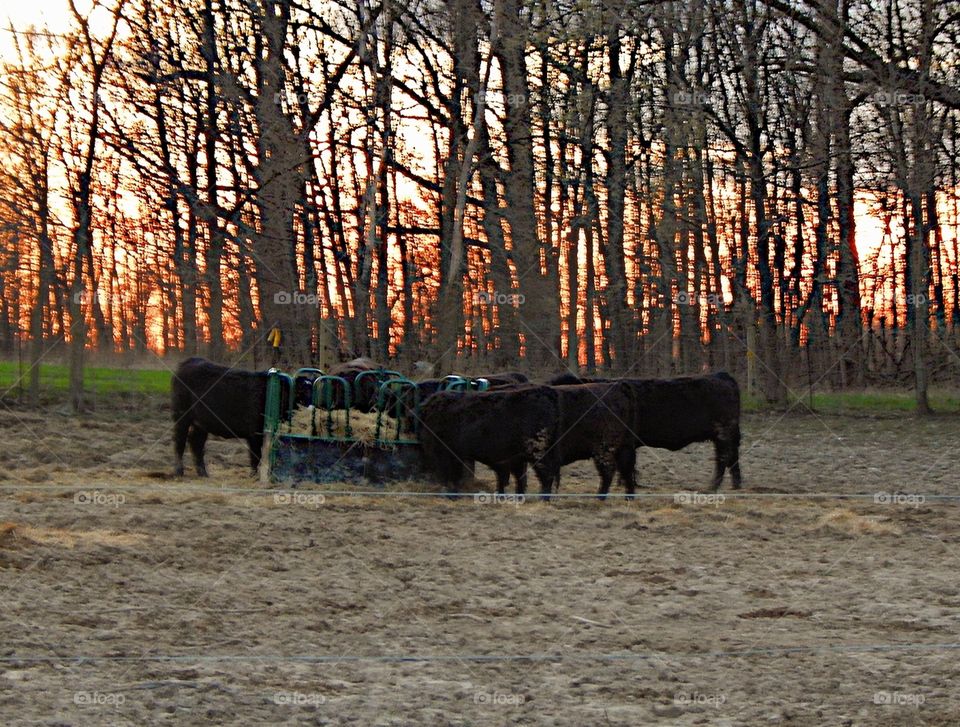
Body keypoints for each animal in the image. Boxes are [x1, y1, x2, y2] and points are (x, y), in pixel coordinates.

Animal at [546, 371, 742, 490]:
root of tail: (722, 376)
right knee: (733, 459)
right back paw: (735, 486)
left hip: (723, 434)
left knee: (723, 459)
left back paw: (712, 488)